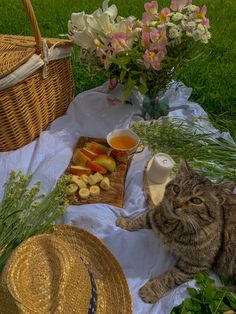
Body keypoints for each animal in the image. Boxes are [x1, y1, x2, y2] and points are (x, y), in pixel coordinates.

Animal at [116, 161, 236, 302]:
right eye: (177, 189)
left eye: (196, 200)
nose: (176, 203)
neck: (176, 226)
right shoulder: (156, 214)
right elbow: (142, 219)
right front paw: (126, 222)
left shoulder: (196, 264)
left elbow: (172, 277)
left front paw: (152, 290)